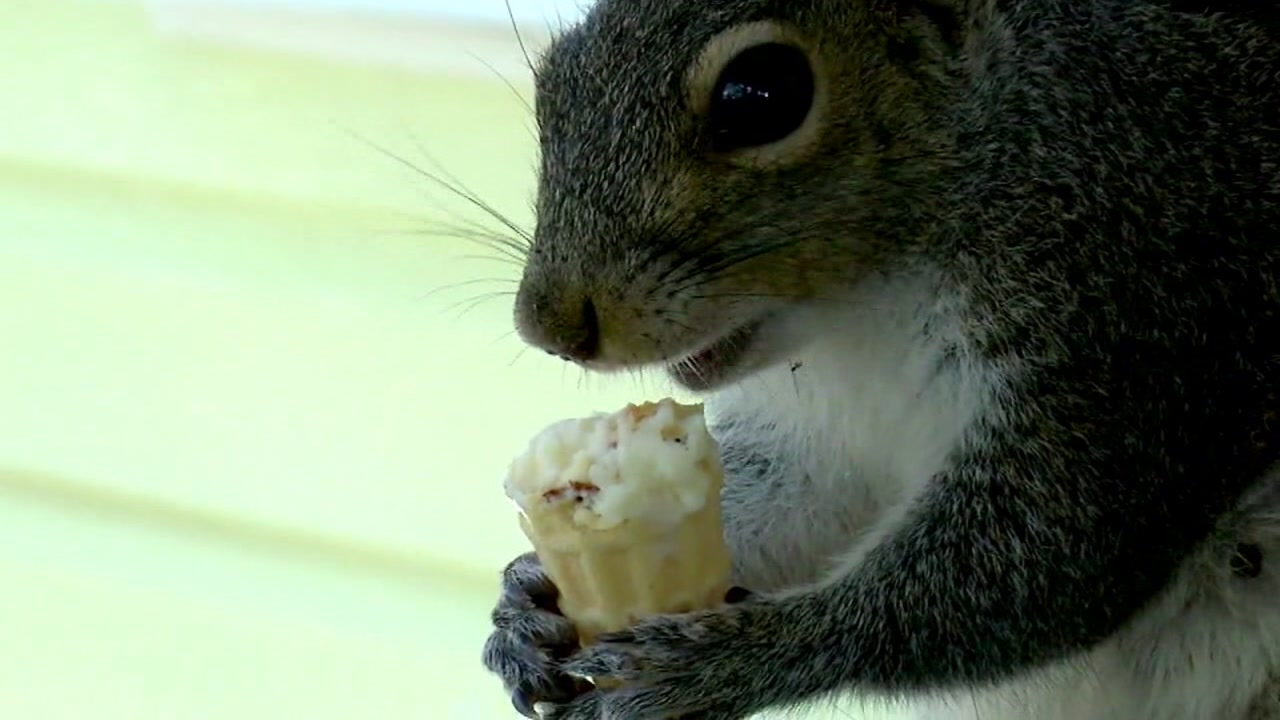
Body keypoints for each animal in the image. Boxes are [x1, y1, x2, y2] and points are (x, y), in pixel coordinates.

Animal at [480, 0, 1280, 718]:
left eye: (761, 94)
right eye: (553, 82)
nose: (549, 324)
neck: (866, 311)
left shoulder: (1132, 313)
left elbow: (1049, 550)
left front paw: (725, 662)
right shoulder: (818, 435)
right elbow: (796, 500)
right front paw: (524, 603)